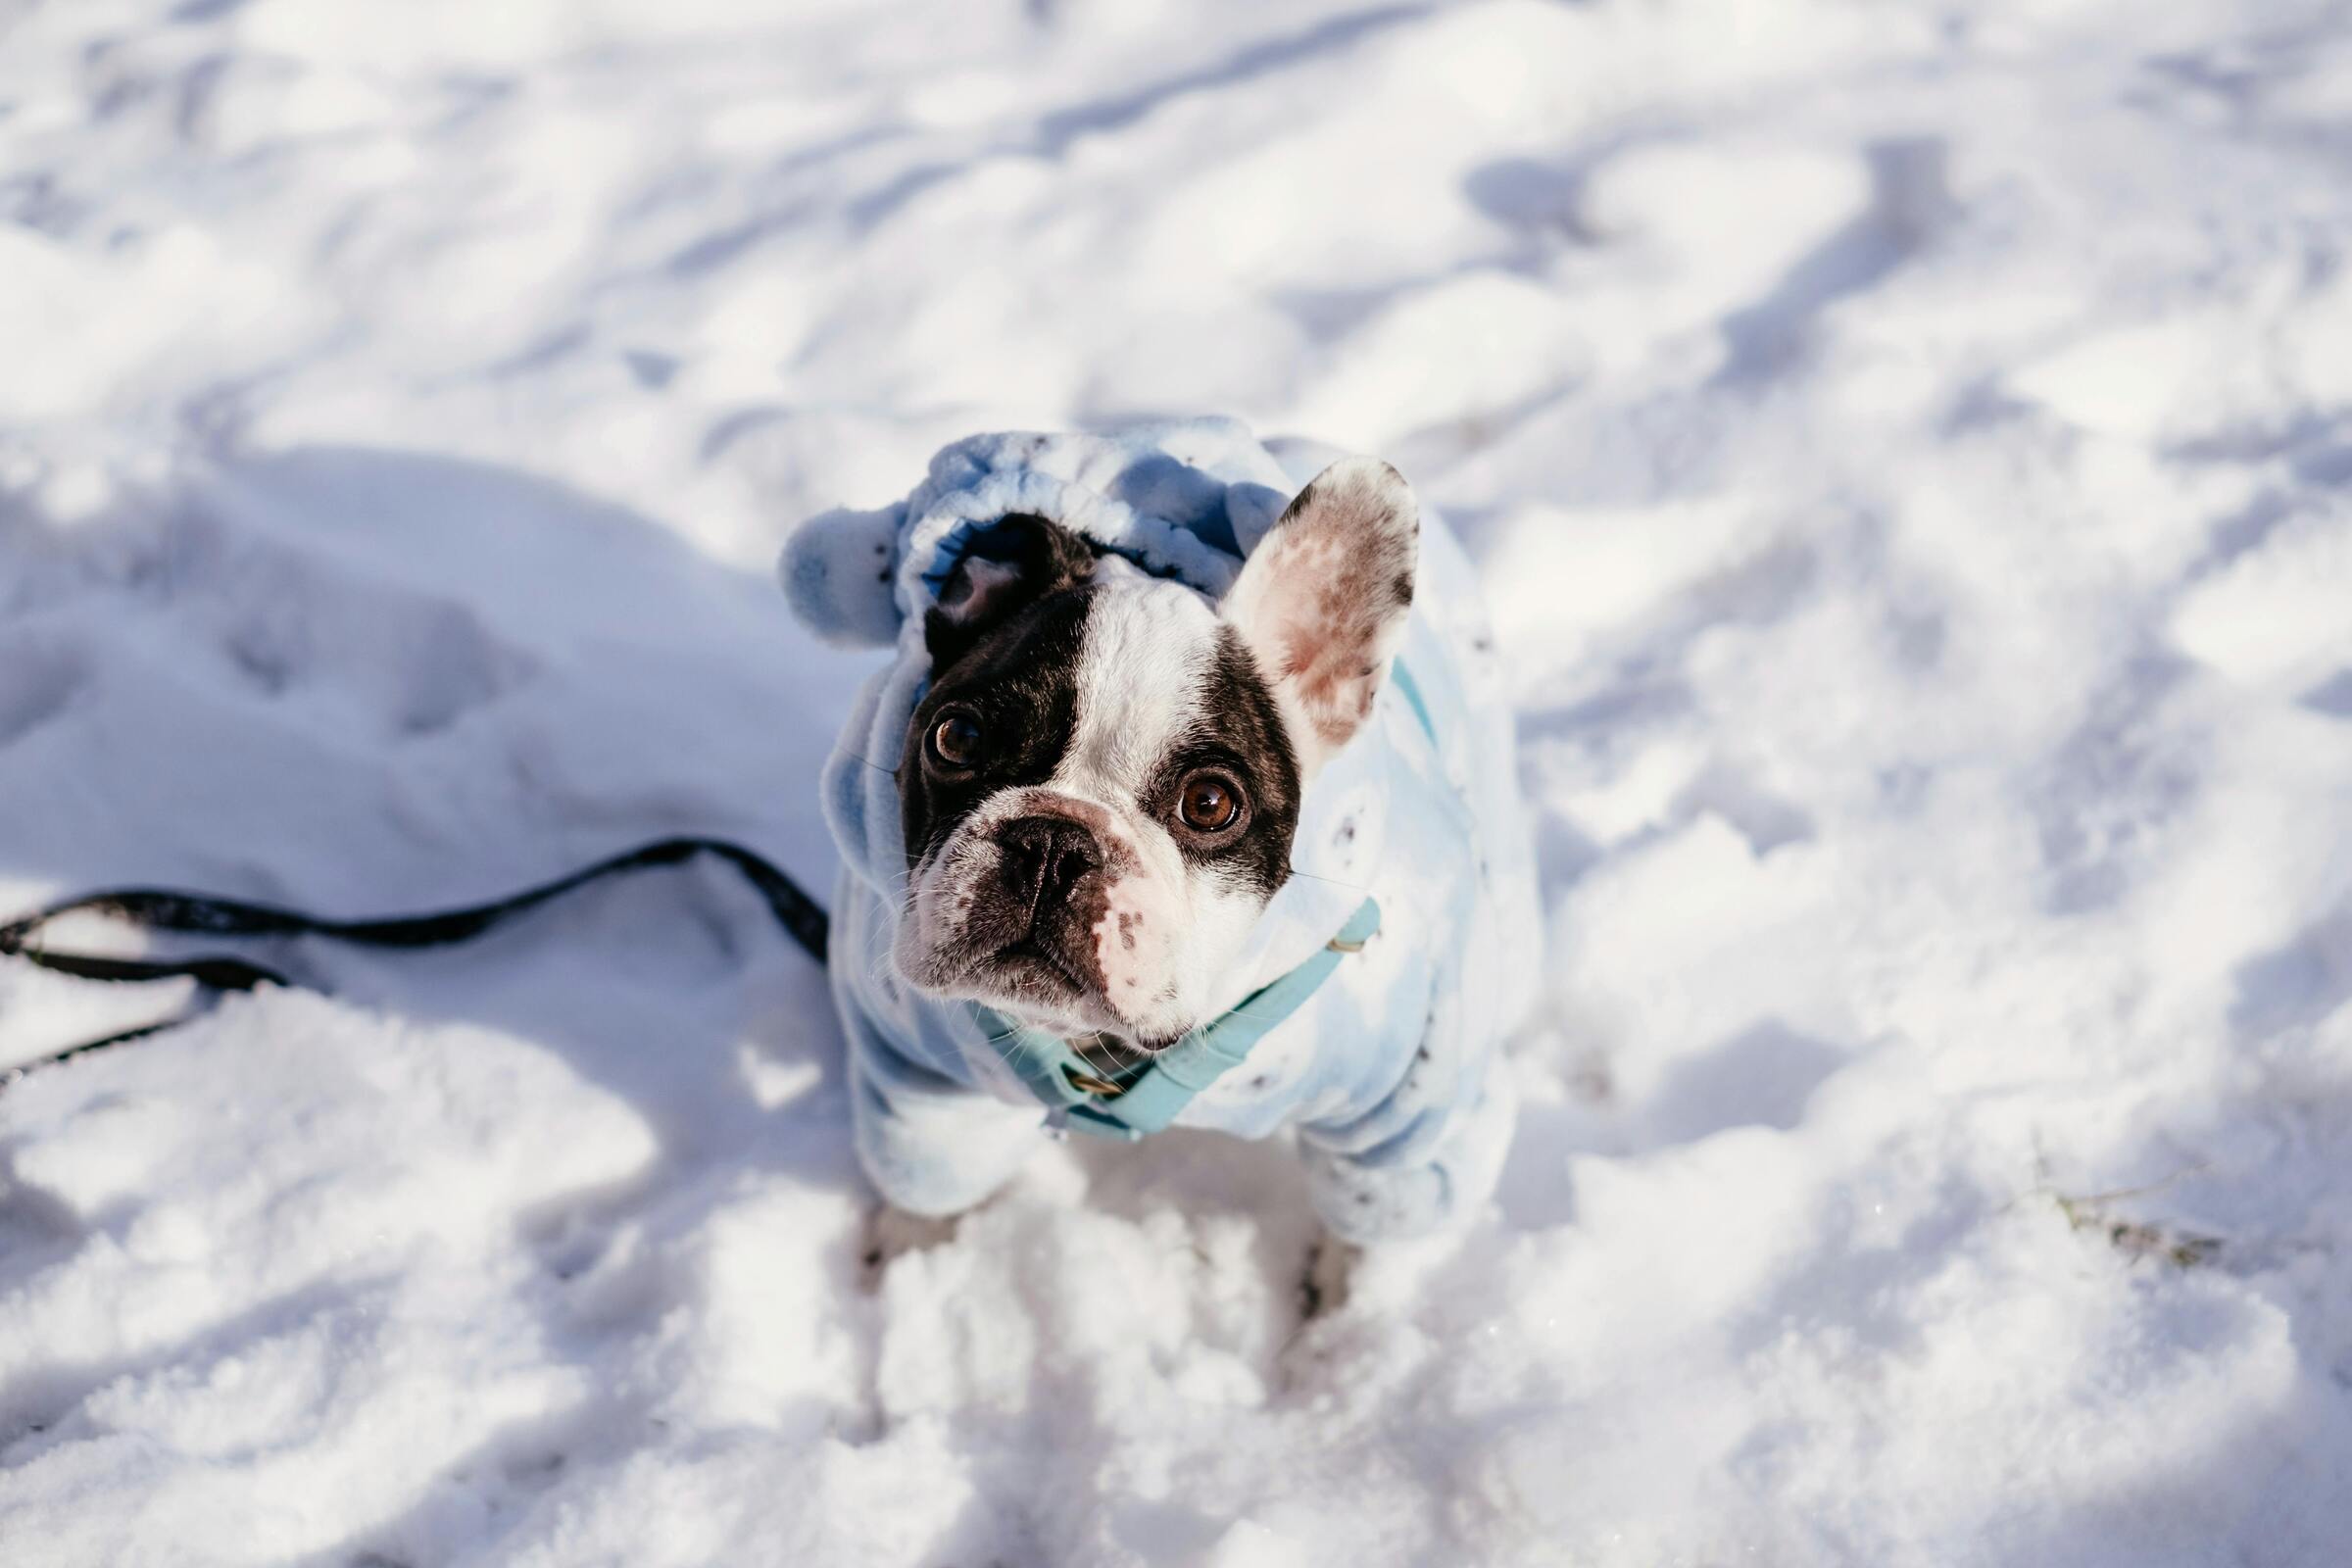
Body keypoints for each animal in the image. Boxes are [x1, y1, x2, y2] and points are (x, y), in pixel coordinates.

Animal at [780, 420, 1533, 1250]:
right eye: (957, 738)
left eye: (1209, 803)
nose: (1054, 843)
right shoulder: (919, 1087)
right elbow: (932, 1182)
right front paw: (916, 1257)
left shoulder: (1403, 1119)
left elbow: (1372, 1214)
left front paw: (1351, 1289)